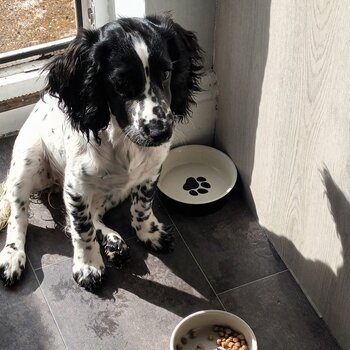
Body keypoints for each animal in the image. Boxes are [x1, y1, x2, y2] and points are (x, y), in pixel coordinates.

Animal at [0, 15, 202, 292]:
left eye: (166, 73)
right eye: (121, 83)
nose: (161, 132)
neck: (124, 140)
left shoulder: (150, 173)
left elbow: (142, 206)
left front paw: (148, 233)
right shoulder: (76, 187)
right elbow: (81, 228)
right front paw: (88, 266)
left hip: (115, 191)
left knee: (90, 215)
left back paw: (112, 240)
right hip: (26, 165)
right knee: (20, 216)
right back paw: (13, 256)